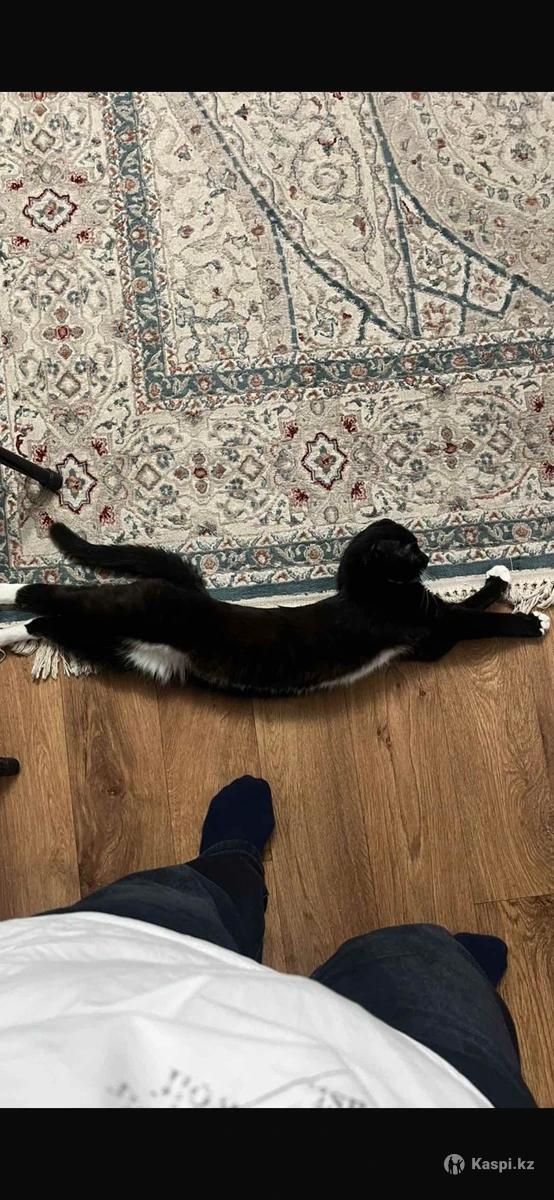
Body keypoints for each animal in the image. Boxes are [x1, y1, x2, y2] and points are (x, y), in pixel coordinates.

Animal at [0, 518, 549, 696]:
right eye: (410, 550)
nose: (430, 557)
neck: (368, 589)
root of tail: (192, 593)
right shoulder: (432, 628)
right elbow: (474, 617)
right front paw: (532, 619)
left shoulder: (428, 630)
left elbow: (472, 600)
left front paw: (499, 576)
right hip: (134, 609)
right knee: (44, 595)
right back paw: (9, 588)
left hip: (126, 649)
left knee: (45, 622)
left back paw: (7, 630)